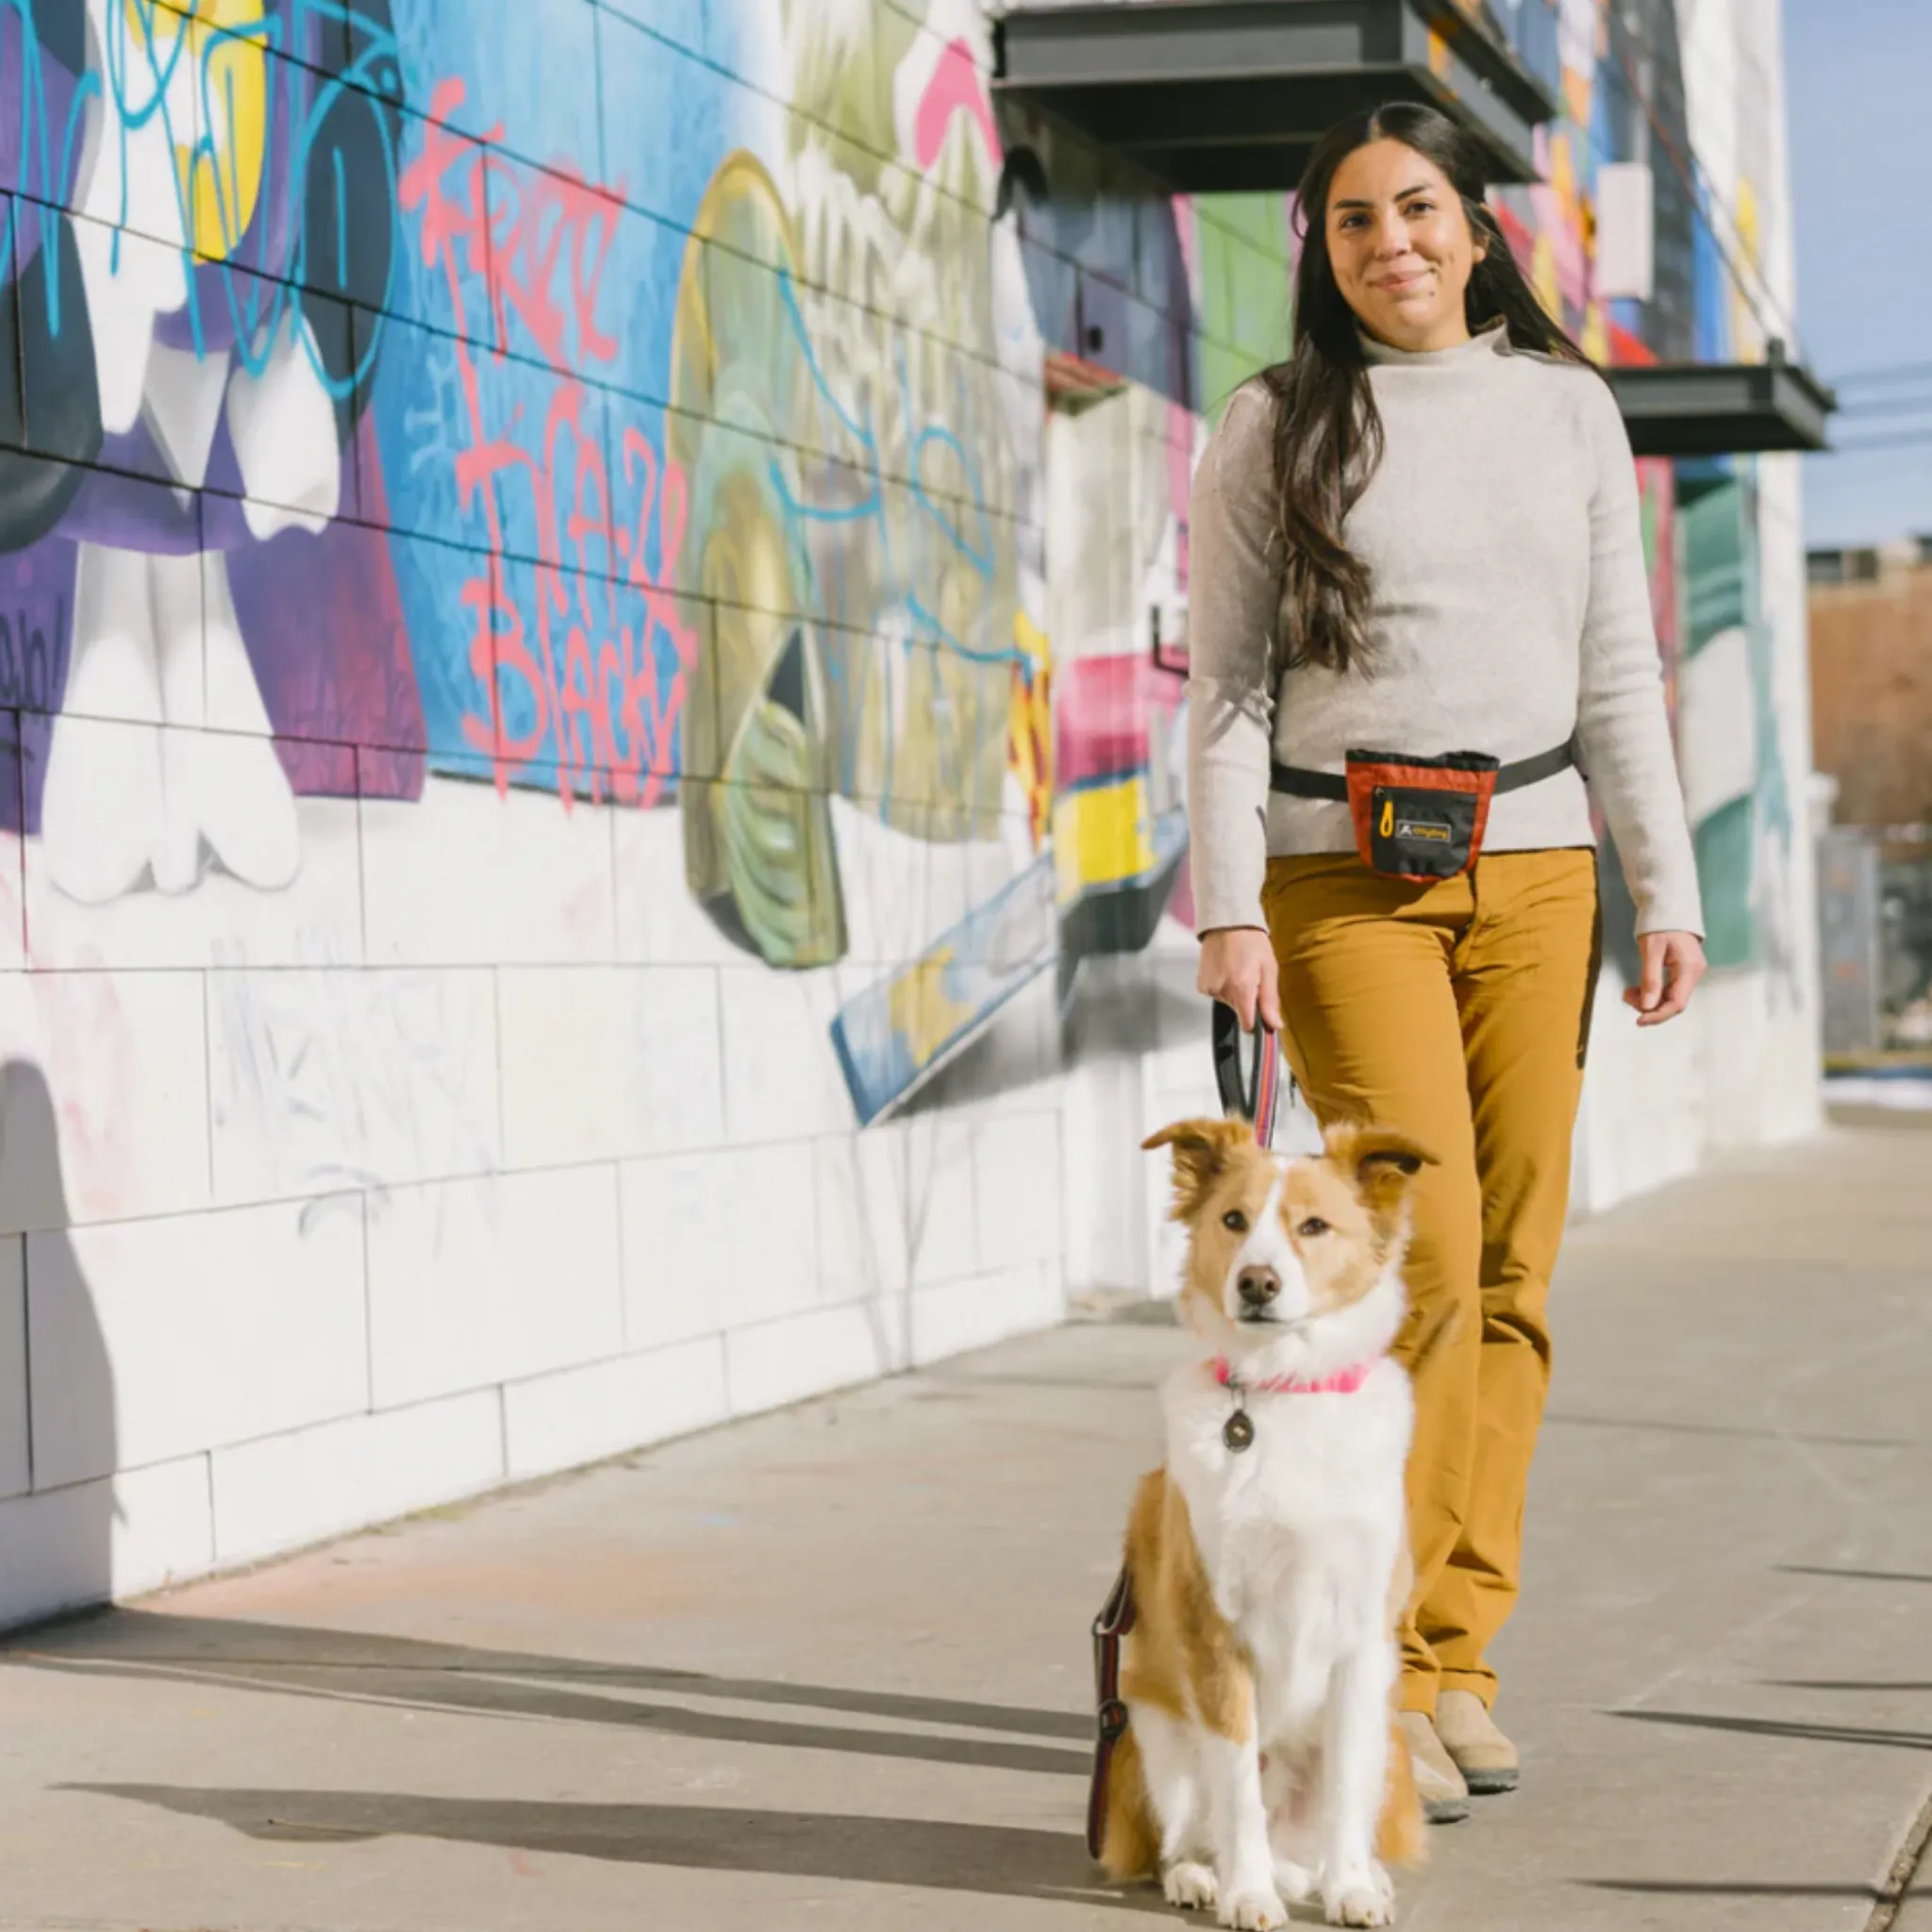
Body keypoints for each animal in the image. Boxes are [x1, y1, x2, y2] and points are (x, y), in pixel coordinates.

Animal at [1105, 1120, 1437, 1932]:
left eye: (1313, 1227)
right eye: (1233, 1220)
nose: (1257, 1282)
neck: (1287, 1389)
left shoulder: (1362, 1643)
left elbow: (1344, 1788)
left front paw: (1353, 1889)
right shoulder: (1215, 1635)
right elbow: (1236, 1794)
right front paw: (1247, 1895)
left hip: (1389, 1739)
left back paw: (1353, 1875)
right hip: (1152, 1726)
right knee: (1191, 1831)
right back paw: (1205, 1878)